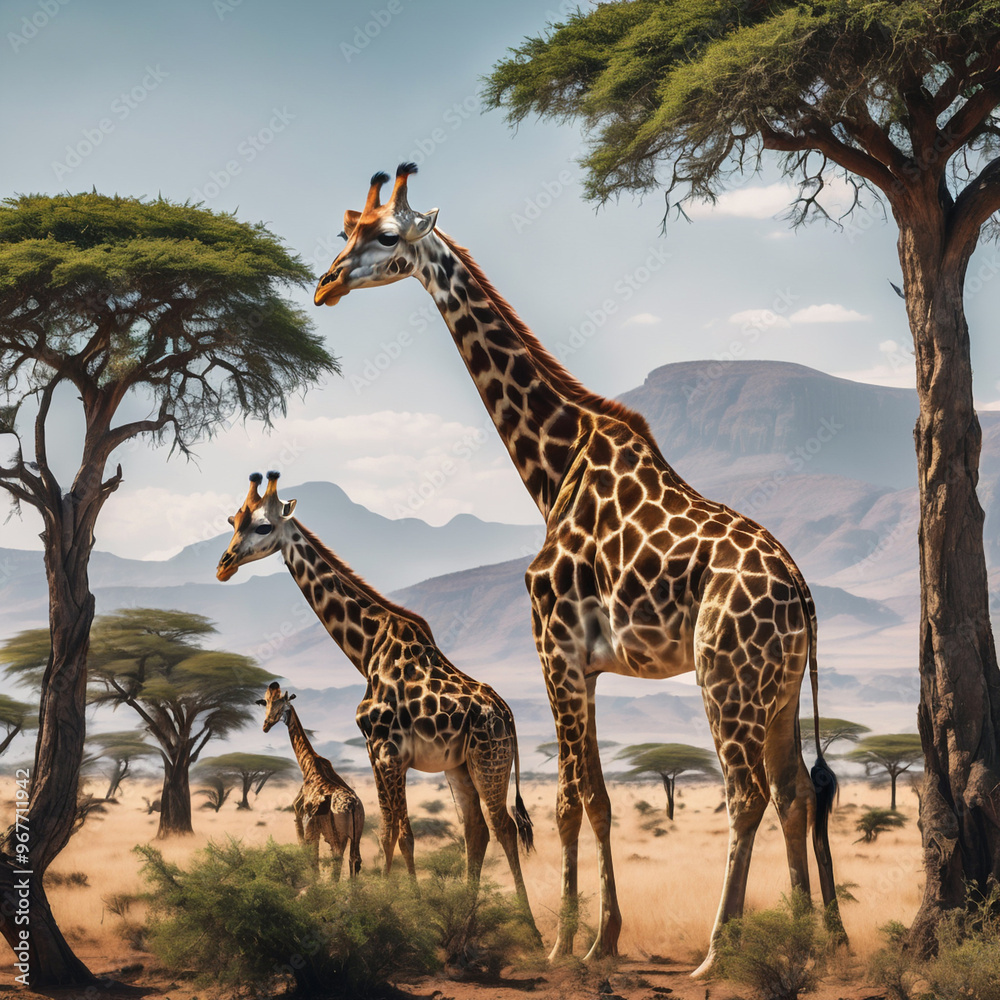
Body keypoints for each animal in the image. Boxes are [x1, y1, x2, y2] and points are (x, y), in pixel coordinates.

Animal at [258, 681, 365, 878]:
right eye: (266, 703)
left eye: (281, 705)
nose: (265, 726)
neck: (307, 765)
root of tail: (353, 807)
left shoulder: (304, 821)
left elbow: (311, 860)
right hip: (357, 834)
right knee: (355, 861)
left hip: (339, 837)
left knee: (337, 863)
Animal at [311, 164, 847, 974]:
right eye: (346, 231)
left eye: (384, 235)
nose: (326, 284)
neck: (552, 467)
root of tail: (805, 598)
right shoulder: (590, 666)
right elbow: (597, 798)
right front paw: (602, 938)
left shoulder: (553, 647)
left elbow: (564, 801)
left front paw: (562, 943)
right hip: (778, 689)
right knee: (793, 792)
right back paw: (801, 945)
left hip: (725, 676)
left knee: (746, 792)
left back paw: (718, 952)